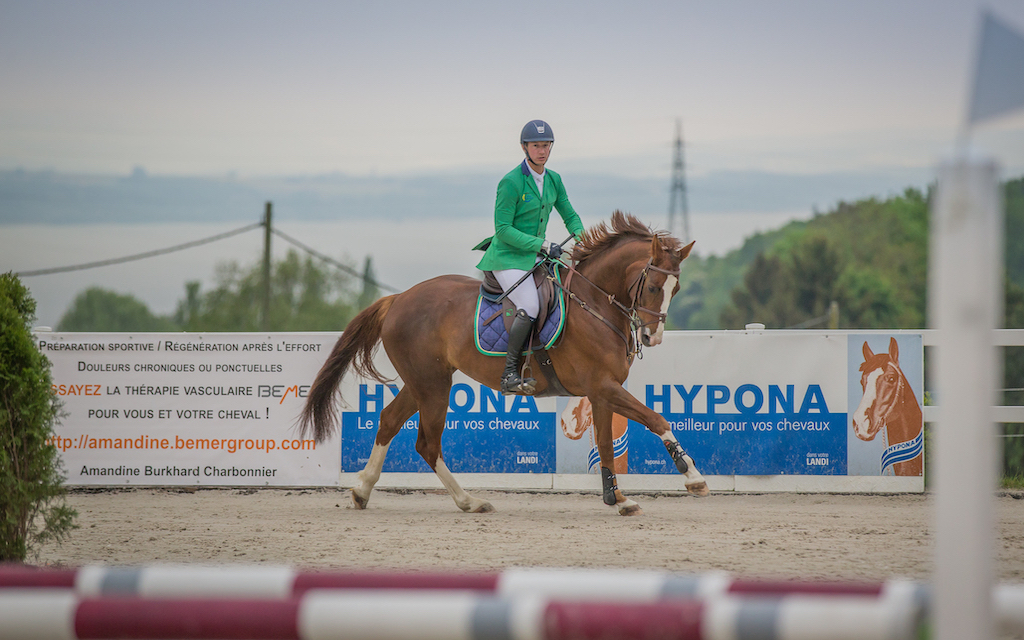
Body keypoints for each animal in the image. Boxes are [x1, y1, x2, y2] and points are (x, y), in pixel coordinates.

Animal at [299, 212, 708, 514]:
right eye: (653, 287)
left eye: (677, 289)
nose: (652, 337)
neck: (595, 305)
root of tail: (398, 298)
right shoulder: (602, 386)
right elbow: (657, 418)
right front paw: (692, 475)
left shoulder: (602, 392)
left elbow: (607, 444)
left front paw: (617, 499)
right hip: (433, 385)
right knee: (427, 444)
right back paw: (469, 501)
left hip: (424, 382)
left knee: (388, 421)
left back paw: (363, 491)